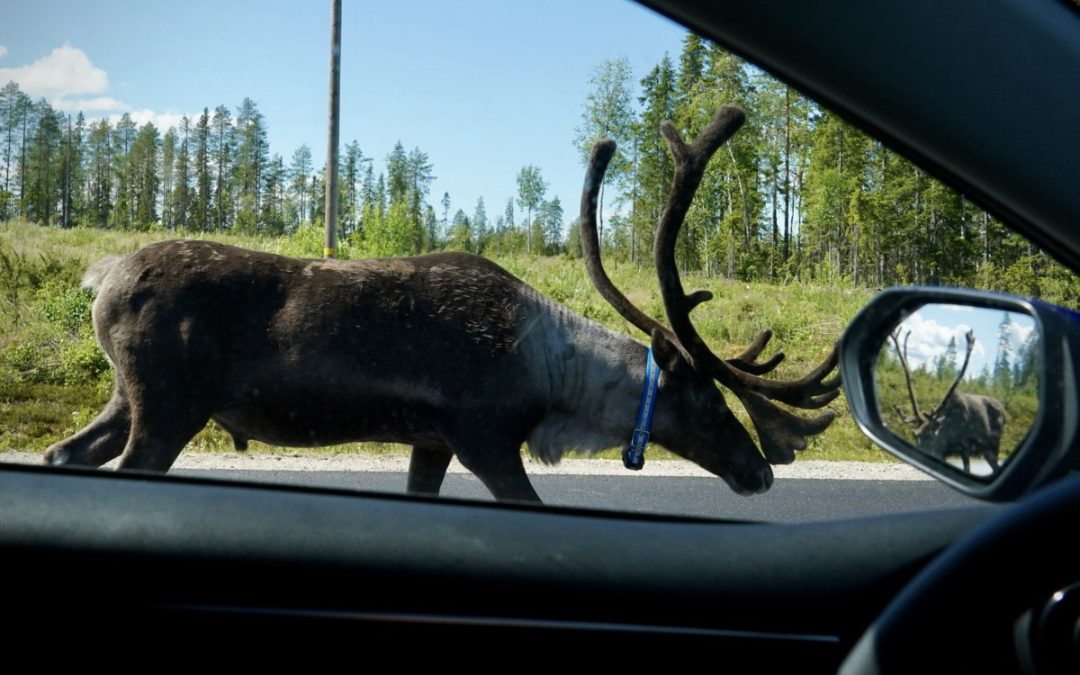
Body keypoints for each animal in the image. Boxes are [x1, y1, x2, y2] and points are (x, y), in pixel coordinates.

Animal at [43, 104, 840, 502]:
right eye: (708, 401)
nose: (761, 472)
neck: (555, 380)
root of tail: (101, 277)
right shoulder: (481, 434)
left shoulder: (430, 440)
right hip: (170, 403)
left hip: (129, 395)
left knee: (65, 452)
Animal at [890, 327, 1007, 473]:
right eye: (915, 436)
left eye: (931, 437)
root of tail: (1004, 412)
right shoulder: (943, 453)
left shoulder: (964, 447)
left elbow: (967, 469)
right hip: (986, 451)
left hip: (993, 446)